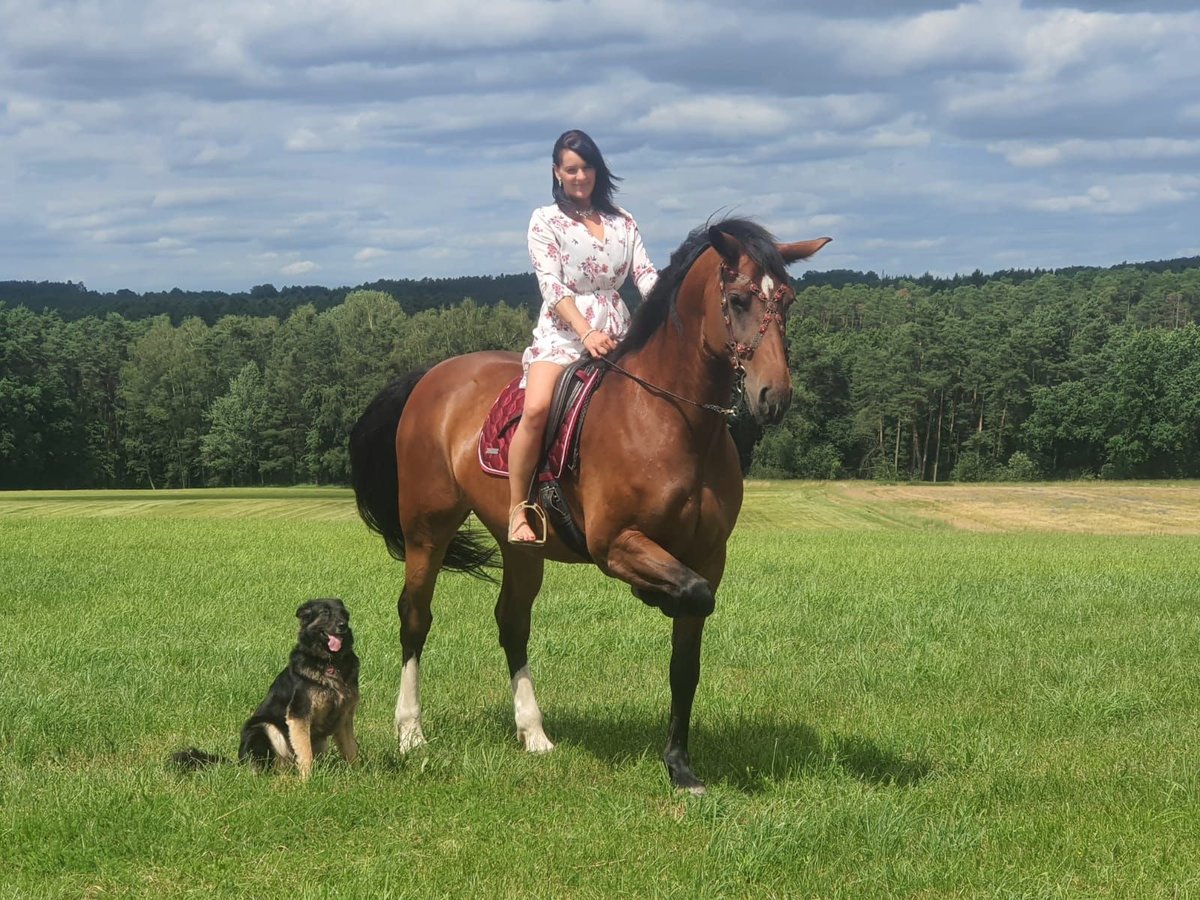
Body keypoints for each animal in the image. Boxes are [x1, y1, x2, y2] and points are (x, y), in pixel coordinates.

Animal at [172, 600, 360, 782]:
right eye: (325, 612)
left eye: (344, 614)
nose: (343, 625)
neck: (330, 663)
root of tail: (239, 762)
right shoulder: (299, 715)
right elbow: (306, 753)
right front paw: (307, 780)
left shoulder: (344, 717)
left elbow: (351, 750)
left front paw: (358, 774)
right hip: (263, 728)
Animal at [350, 218, 830, 796]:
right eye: (738, 300)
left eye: (789, 301)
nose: (773, 397)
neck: (673, 419)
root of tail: (430, 376)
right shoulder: (614, 543)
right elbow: (687, 595)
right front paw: (654, 596)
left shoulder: (708, 555)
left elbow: (686, 658)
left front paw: (679, 766)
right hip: (428, 531)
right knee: (415, 618)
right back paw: (410, 733)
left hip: (520, 546)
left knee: (512, 622)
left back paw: (533, 733)